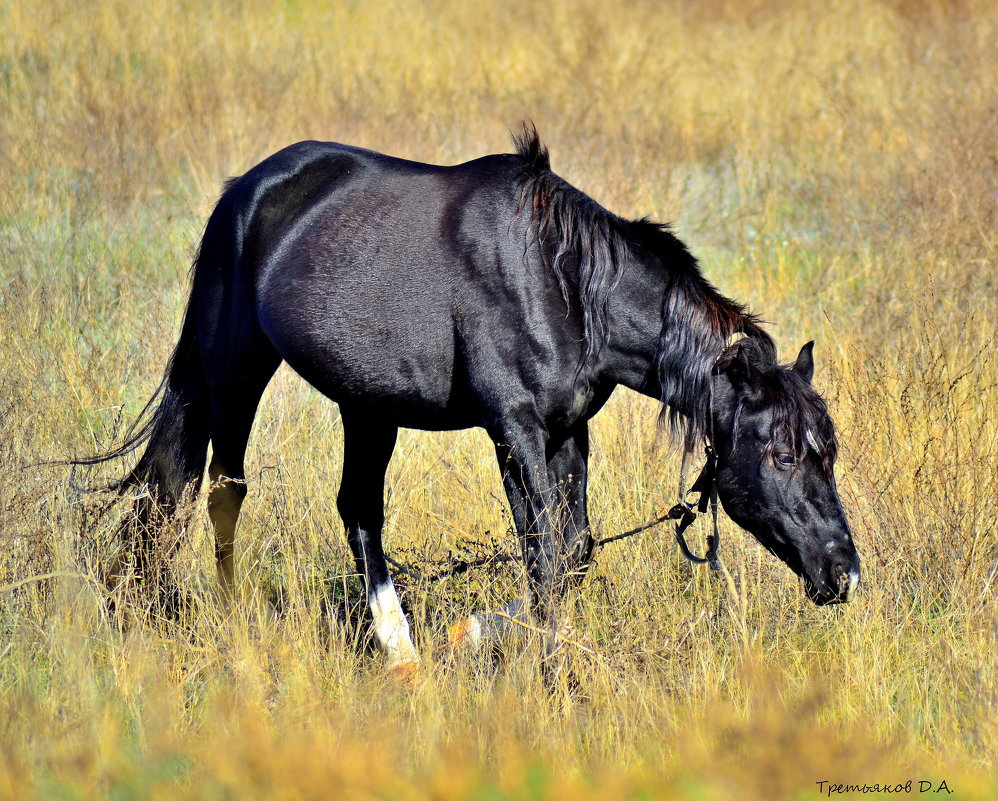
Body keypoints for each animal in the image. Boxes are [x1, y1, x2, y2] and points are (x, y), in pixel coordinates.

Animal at [92, 128, 860, 672]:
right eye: (783, 453)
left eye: (828, 452)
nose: (845, 573)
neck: (562, 284)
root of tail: (248, 188)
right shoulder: (512, 428)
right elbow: (544, 553)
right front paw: (543, 668)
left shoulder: (567, 428)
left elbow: (573, 550)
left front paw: (482, 636)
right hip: (236, 368)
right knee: (220, 488)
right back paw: (228, 620)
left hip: (367, 405)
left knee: (357, 511)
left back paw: (401, 654)